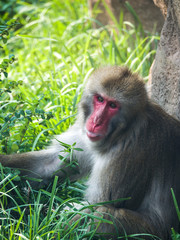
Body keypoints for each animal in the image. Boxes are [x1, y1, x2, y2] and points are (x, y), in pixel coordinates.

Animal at [0, 66, 180, 240]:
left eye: (113, 105)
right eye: (100, 99)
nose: (96, 121)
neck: (122, 132)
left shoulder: (129, 152)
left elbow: (96, 204)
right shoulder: (85, 135)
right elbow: (49, 165)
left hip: (151, 233)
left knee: (99, 215)